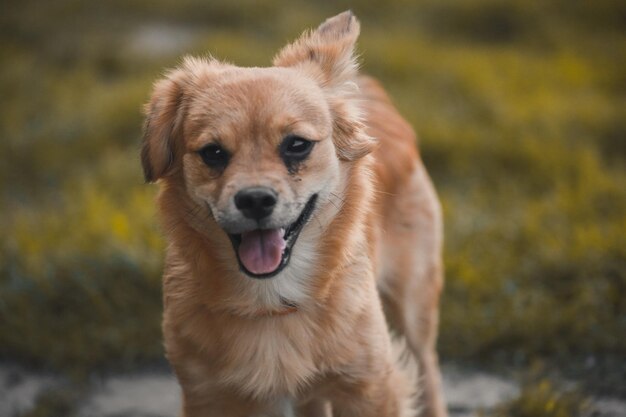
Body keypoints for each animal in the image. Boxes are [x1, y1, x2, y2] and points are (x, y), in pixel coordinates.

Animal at [141, 10, 444, 416]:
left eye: (297, 145)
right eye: (213, 153)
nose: (254, 199)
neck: (272, 302)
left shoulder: (370, 388)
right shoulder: (208, 395)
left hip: (414, 306)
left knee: (429, 371)